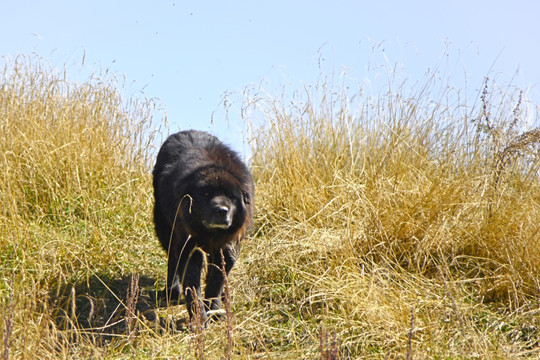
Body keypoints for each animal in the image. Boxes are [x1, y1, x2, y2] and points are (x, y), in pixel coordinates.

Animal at [152, 130, 253, 324]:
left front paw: (214, 308)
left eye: (231, 196)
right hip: (165, 227)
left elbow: (216, 280)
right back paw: (172, 291)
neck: (211, 233)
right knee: (172, 258)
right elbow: (192, 286)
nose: (222, 210)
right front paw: (199, 317)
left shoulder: (226, 247)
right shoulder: (189, 247)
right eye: (206, 194)